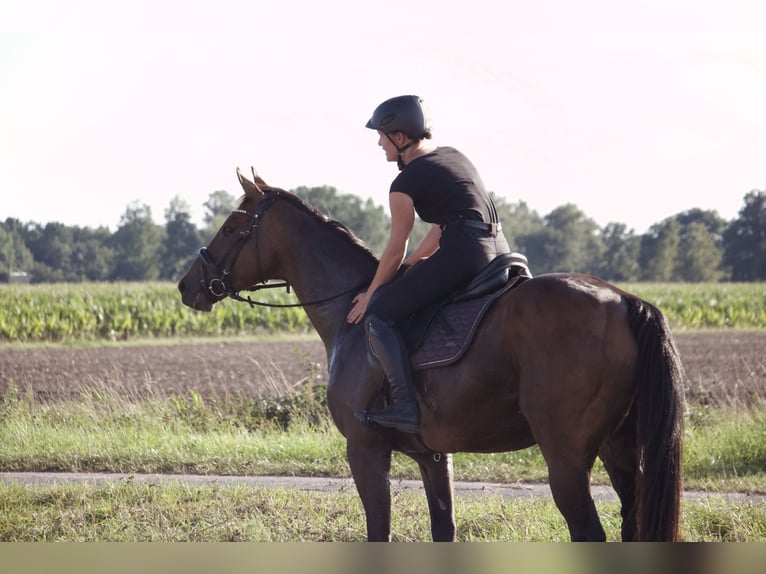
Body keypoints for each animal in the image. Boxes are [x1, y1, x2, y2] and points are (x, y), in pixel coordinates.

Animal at [180, 169, 688, 544]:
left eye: (231, 227)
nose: (187, 286)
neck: (350, 311)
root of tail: (624, 300)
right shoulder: (434, 457)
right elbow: (443, 529)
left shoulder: (365, 451)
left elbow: (378, 533)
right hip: (619, 447)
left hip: (566, 458)